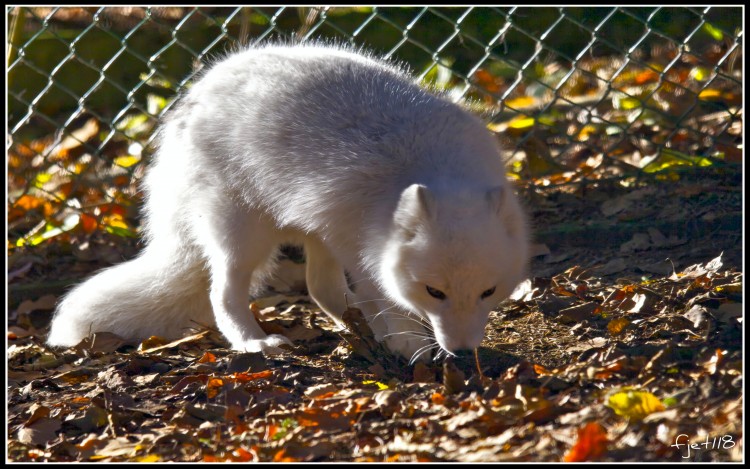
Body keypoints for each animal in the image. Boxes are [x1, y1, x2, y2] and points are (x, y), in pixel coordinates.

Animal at [47, 44, 532, 360]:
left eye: (488, 292)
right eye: (435, 292)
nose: (463, 352)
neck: (430, 166)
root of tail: (191, 99)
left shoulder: (351, 239)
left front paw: (391, 334)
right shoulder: (363, 248)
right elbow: (386, 297)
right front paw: (407, 339)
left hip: (317, 229)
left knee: (320, 289)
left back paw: (355, 328)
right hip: (244, 235)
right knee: (223, 293)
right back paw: (252, 341)